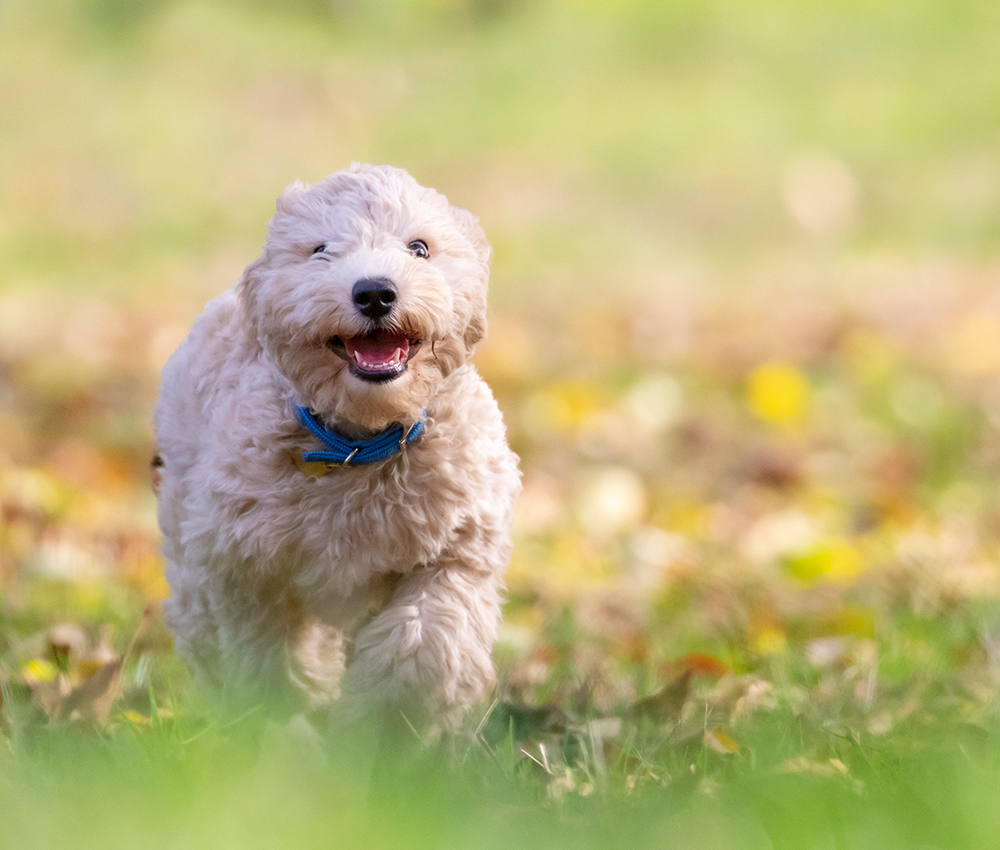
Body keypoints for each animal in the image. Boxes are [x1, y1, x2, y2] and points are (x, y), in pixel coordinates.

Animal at [154, 164, 524, 728]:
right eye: (320, 250)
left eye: (419, 247)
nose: (374, 292)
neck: (362, 443)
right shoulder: (244, 563)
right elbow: (270, 655)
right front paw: (287, 722)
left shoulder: (459, 547)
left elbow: (426, 640)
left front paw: (382, 726)